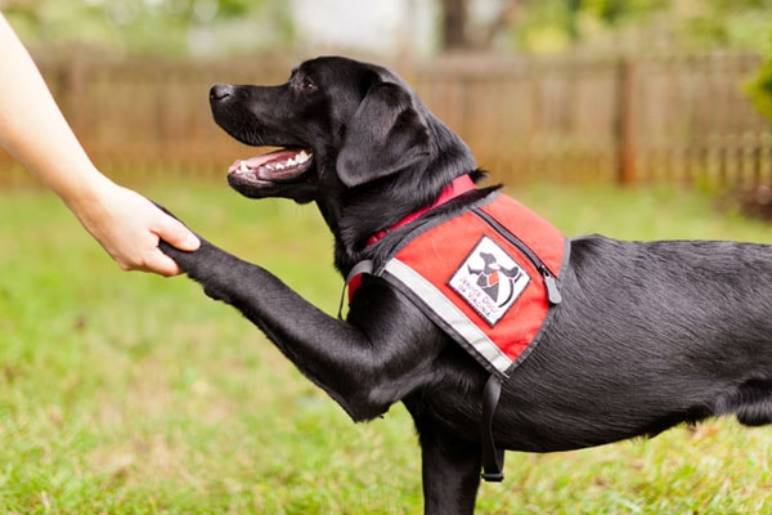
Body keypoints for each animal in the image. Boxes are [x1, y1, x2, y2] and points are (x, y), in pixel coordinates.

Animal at [160, 57, 768, 515]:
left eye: (306, 83)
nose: (216, 89)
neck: (415, 211)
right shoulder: (450, 443)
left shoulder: (368, 370)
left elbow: (259, 277)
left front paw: (171, 231)